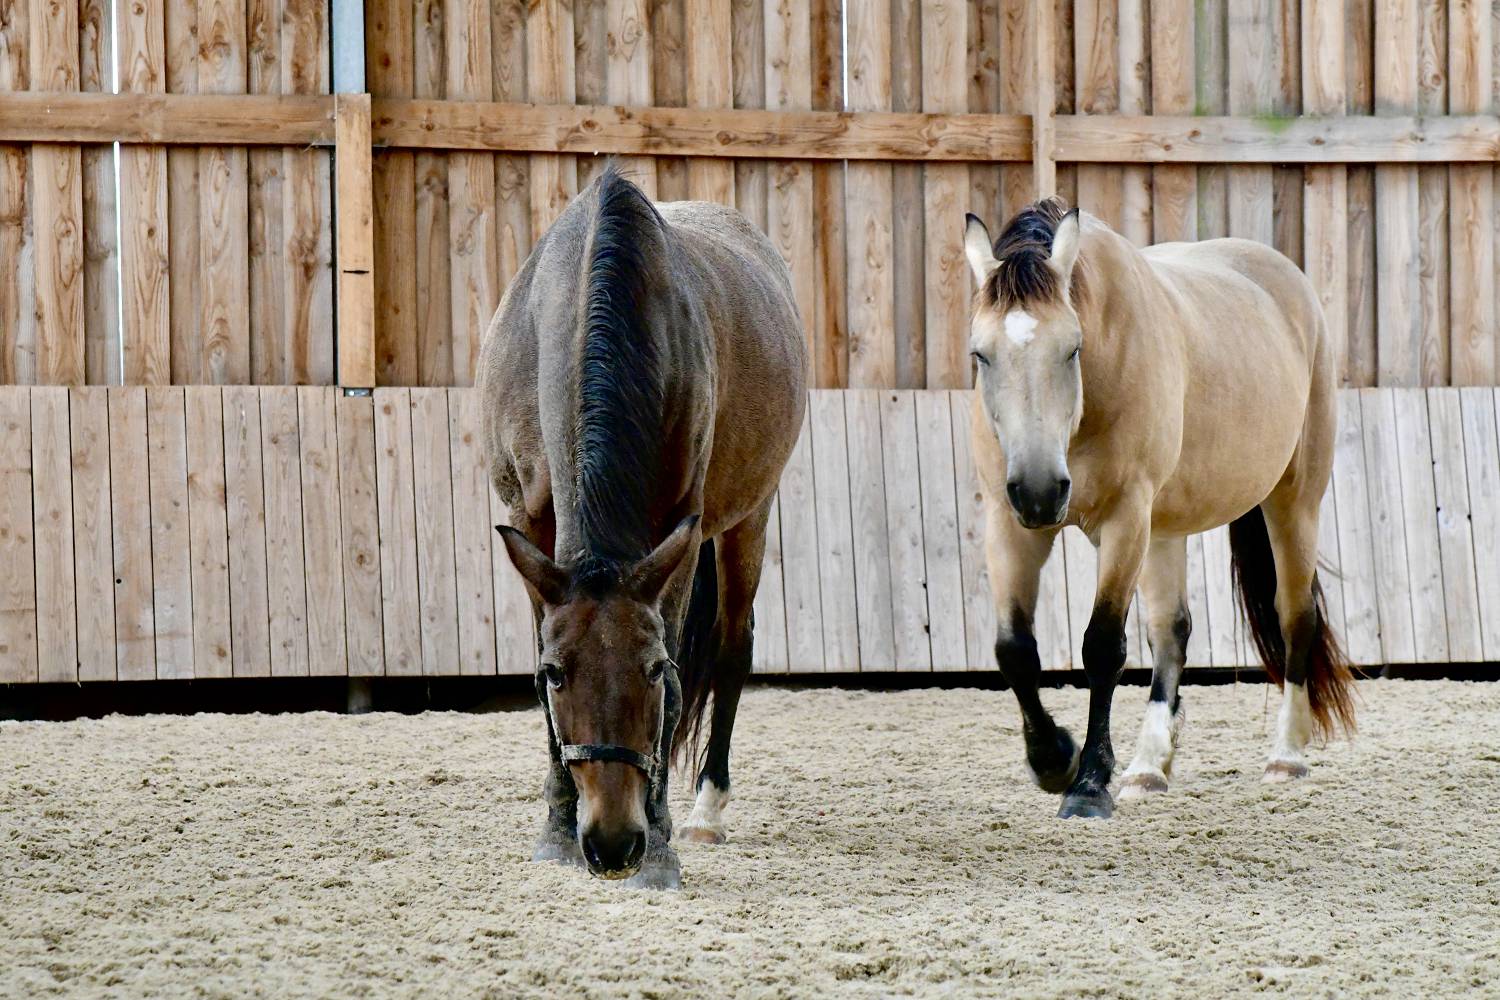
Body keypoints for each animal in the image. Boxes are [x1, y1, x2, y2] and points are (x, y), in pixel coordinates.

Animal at [480, 166, 810, 893]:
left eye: (654, 668)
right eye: (556, 674)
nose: (612, 842)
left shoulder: (679, 527)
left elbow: (690, 679)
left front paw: (660, 851)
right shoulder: (529, 520)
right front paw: (555, 830)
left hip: (748, 517)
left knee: (732, 648)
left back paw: (706, 811)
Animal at [960, 197, 1362, 821]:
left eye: (1072, 348)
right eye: (981, 355)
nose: (1042, 491)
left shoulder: (1126, 519)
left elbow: (1102, 647)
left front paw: (1087, 785)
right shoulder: (1011, 525)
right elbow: (1014, 650)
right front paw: (1054, 761)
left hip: (1294, 501)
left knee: (1295, 617)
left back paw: (1285, 758)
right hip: (1165, 528)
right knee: (1171, 631)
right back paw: (1149, 767)